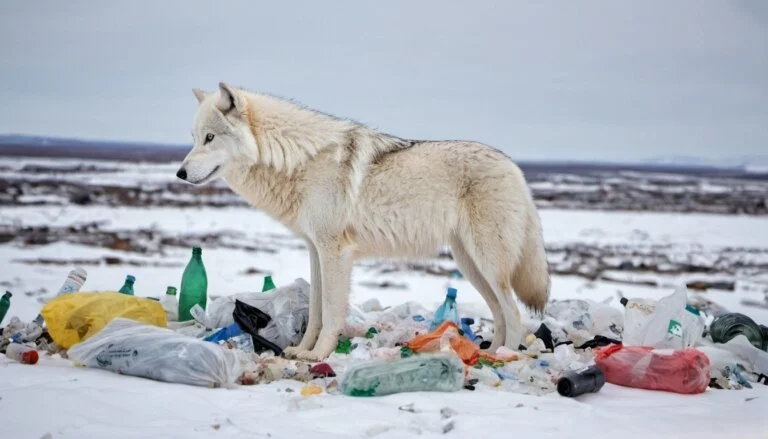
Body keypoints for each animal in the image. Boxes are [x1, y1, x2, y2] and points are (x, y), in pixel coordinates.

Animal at [177, 82, 550, 361]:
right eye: (193, 138)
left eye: (210, 138)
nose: (180, 173)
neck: (296, 159)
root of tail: (515, 168)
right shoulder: (316, 251)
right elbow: (316, 311)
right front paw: (301, 350)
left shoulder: (336, 252)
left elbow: (331, 312)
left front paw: (319, 355)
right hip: (471, 265)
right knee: (500, 312)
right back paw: (483, 352)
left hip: (487, 264)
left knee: (514, 313)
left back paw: (503, 356)